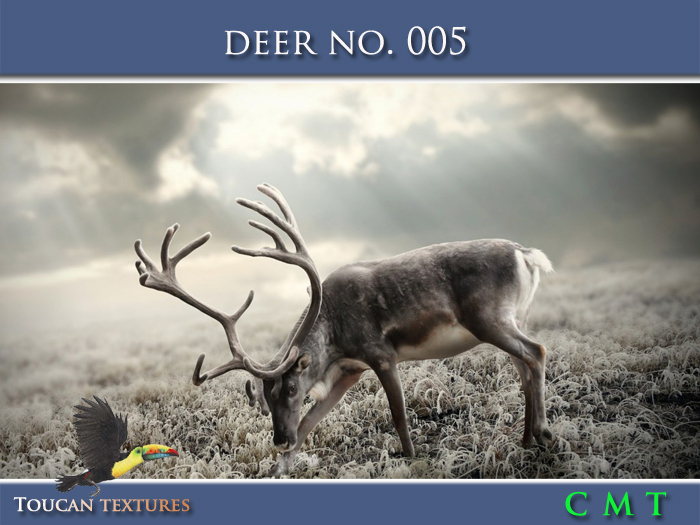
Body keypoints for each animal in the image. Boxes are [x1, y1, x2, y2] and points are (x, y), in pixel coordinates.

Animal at [134, 183, 555, 476]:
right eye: (266, 396)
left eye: (290, 389)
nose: (278, 439)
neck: (334, 339)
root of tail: (527, 254)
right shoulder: (349, 370)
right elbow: (309, 422)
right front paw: (279, 468)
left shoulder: (380, 354)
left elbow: (399, 415)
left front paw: (411, 458)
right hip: (512, 318)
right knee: (524, 366)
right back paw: (526, 440)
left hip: (489, 318)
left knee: (536, 352)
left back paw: (545, 432)